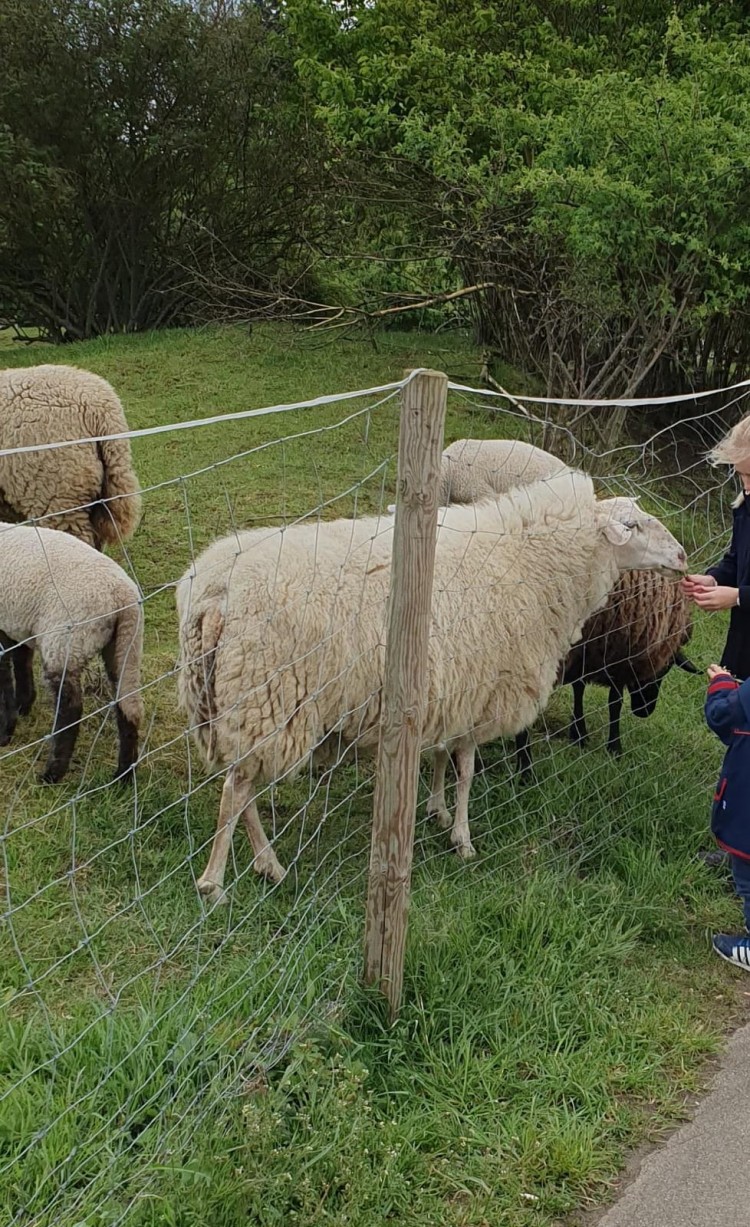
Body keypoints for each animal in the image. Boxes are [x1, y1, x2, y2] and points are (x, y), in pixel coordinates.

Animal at [0, 522, 145, 780]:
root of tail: (124, 596)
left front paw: (6, 731)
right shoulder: (16, 625)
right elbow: (21, 662)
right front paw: (23, 706)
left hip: (66, 640)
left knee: (71, 708)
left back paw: (52, 774)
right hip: (123, 647)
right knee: (126, 703)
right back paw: (123, 776)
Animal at [174, 468, 687, 903]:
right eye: (633, 526)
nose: (683, 557)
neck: (531, 562)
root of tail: (212, 591)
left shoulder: (453, 689)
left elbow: (442, 756)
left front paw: (436, 810)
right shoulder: (483, 685)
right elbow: (466, 771)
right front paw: (462, 837)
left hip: (240, 703)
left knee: (242, 787)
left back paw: (267, 865)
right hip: (267, 696)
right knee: (236, 791)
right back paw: (217, 883)